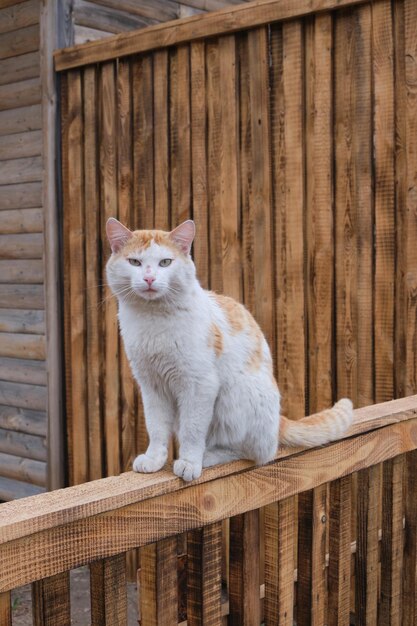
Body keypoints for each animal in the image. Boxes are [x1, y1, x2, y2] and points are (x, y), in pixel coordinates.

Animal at [105, 217, 352, 480]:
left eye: (165, 262)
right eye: (135, 262)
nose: (149, 279)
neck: (153, 319)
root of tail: (278, 420)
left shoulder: (200, 384)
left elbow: (193, 429)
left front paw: (189, 462)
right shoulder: (152, 386)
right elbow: (156, 427)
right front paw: (154, 459)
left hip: (234, 396)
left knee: (255, 452)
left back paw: (207, 456)